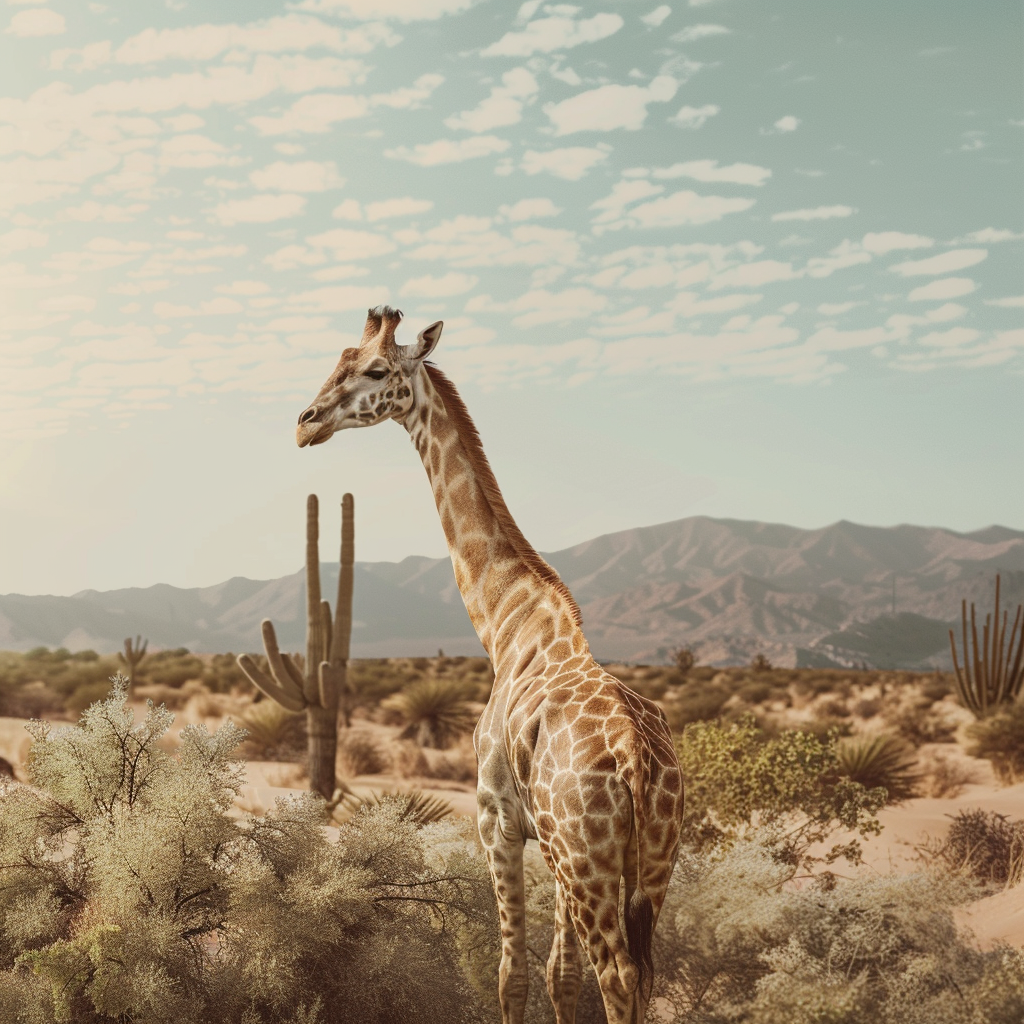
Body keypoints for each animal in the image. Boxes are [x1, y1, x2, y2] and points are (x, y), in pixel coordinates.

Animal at [294, 305, 679, 1024]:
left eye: (376, 370)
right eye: (338, 360)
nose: (306, 422)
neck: (507, 625)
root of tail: (636, 760)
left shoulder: (496, 821)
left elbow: (512, 976)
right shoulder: (545, 843)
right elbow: (560, 977)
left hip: (587, 856)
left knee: (618, 977)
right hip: (647, 860)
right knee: (641, 977)